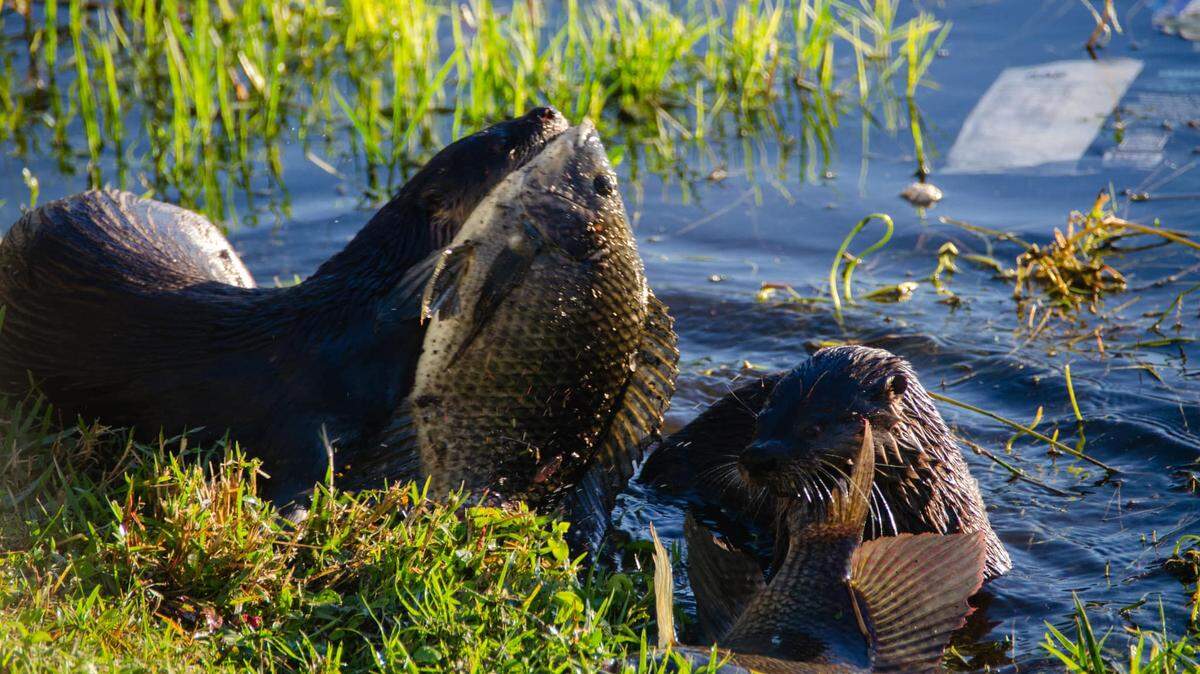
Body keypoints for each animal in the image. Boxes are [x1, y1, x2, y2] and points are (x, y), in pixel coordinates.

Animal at [0, 108, 678, 548]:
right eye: (501, 142)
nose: (547, 109)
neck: (347, 332)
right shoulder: (301, 412)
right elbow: (303, 477)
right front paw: (286, 526)